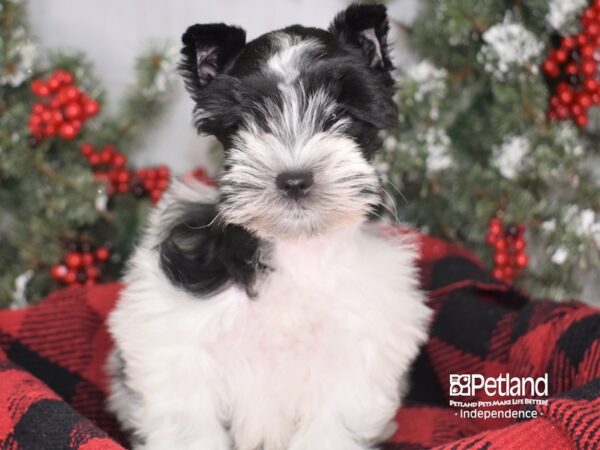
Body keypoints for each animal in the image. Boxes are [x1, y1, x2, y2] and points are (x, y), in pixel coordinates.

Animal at [105, 4, 428, 450]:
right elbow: (189, 422)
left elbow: (330, 425)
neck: (294, 248)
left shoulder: (355, 357)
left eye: (339, 115)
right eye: (249, 121)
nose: (294, 179)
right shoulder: (177, 345)